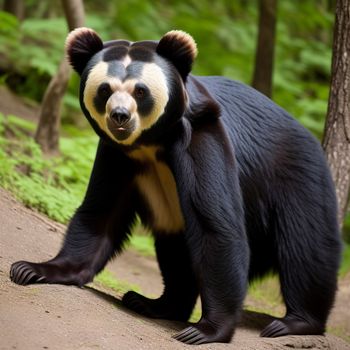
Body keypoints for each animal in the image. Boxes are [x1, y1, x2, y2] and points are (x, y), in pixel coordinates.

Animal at [10, 28, 342, 344]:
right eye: (105, 89)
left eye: (140, 90)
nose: (120, 117)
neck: (152, 143)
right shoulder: (117, 155)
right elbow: (100, 211)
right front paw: (32, 268)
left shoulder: (203, 140)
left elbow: (216, 227)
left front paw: (207, 329)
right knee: (175, 247)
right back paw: (151, 302)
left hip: (297, 179)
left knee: (306, 247)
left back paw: (295, 321)